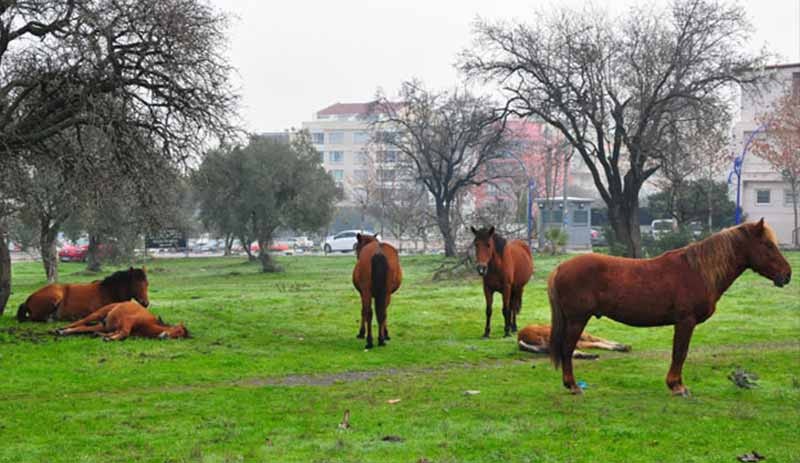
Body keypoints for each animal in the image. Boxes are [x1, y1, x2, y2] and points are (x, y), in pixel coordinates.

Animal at [16, 266, 149, 324]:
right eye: (136, 283)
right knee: (35, 318)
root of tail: (29, 299)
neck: (107, 291)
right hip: (55, 296)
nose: (146, 303)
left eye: (147, 283)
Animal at [55, 300, 188, 340]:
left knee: (82, 328)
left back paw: (64, 332)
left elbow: (120, 333)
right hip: (97, 314)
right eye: (177, 329)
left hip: (102, 324)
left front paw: (106, 336)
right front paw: (109, 338)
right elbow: (124, 333)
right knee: (79, 322)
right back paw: (59, 329)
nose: (165, 336)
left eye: (179, 337)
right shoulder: (128, 320)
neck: (149, 323)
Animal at [548, 220, 792, 396]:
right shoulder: (685, 322)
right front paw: (677, 386)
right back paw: (573, 386)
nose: (787, 275)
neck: (698, 271)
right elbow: (680, 353)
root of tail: (560, 268)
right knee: (567, 349)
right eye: (768, 245)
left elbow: (680, 353)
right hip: (578, 320)